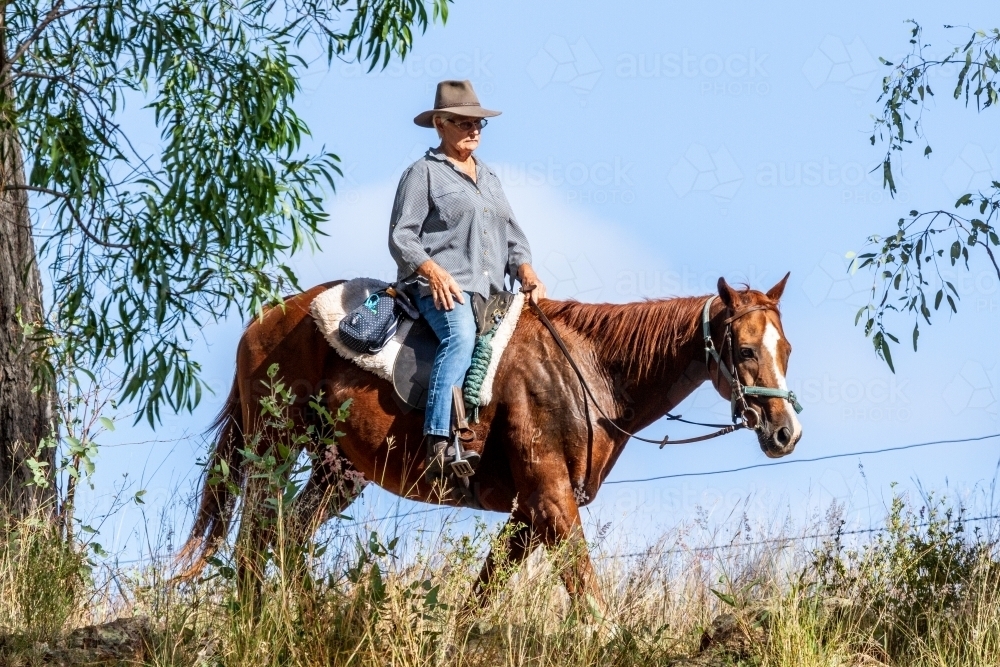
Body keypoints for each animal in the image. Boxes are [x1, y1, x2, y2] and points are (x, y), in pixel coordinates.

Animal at [178, 273, 802, 612]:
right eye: (746, 349)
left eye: (786, 348)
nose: (785, 432)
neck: (587, 372)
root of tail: (264, 320)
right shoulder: (552, 501)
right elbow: (587, 596)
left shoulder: (530, 512)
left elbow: (481, 598)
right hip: (273, 450)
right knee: (255, 543)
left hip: (339, 472)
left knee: (287, 540)